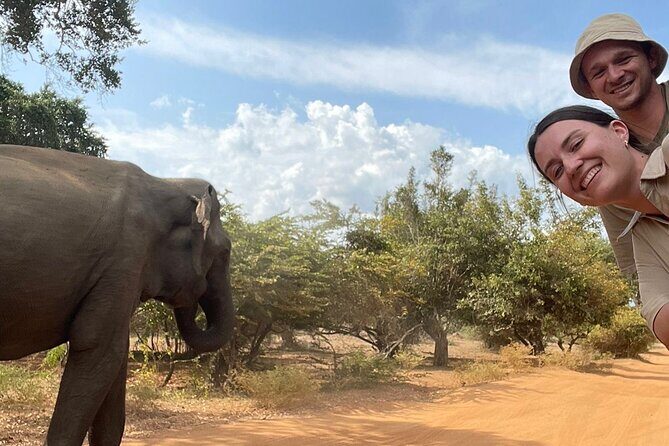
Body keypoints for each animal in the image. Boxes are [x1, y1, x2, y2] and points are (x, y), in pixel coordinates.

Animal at [0, 144, 234, 445]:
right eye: (225, 251)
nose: (193, 301)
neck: (165, 183)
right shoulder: (124, 260)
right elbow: (97, 348)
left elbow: (116, 358)